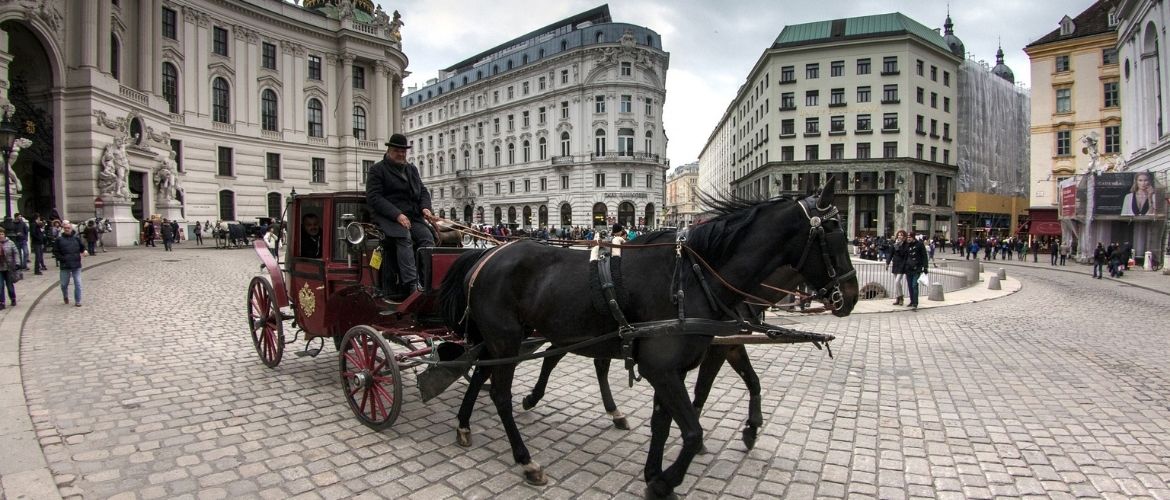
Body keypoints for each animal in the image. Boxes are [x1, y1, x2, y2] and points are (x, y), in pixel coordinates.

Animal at [439, 185, 861, 500]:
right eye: (834, 230)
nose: (851, 295)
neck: (692, 279)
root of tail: (486, 256)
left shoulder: (674, 369)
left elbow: (666, 422)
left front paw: (654, 473)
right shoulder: (666, 368)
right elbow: (691, 430)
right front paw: (667, 479)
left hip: (503, 339)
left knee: (482, 373)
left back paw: (464, 424)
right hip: (507, 339)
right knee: (500, 393)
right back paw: (525, 458)